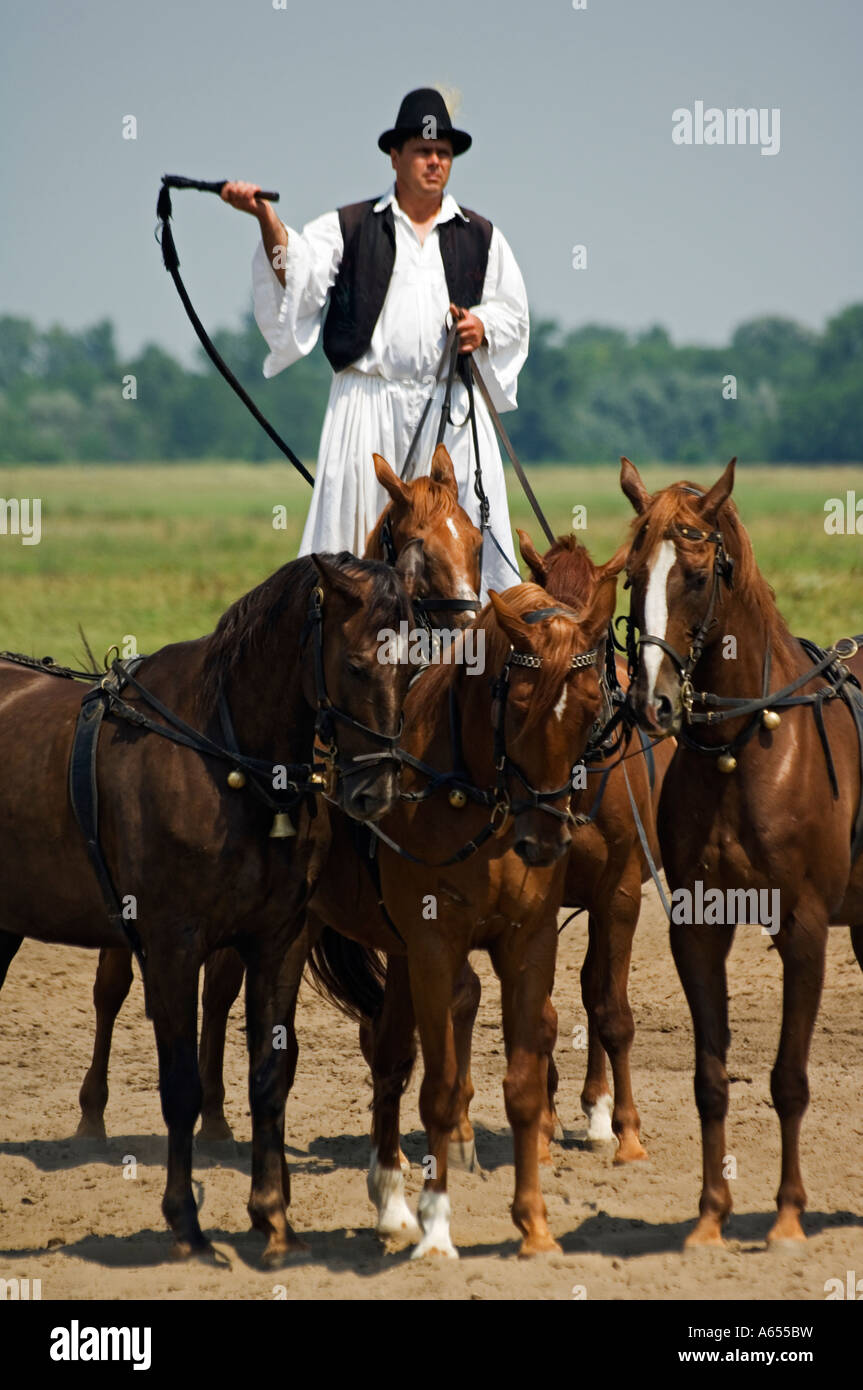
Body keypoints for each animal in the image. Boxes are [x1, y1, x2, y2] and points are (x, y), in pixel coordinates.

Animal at [0, 550, 414, 1262]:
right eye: (357, 665)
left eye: (415, 662)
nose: (376, 791)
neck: (227, 760)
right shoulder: (172, 947)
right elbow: (181, 1087)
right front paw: (186, 1227)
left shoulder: (279, 942)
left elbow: (270, 1077)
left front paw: (273, 1220)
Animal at [619, 458, 861, 1251]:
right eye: (632, 573)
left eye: (697, 575)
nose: (653, 704)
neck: (743, 746)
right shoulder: (698, 929)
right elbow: (709, 1079)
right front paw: (709, 1217)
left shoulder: (805, 930)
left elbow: (788, 1078)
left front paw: (787, 1216)